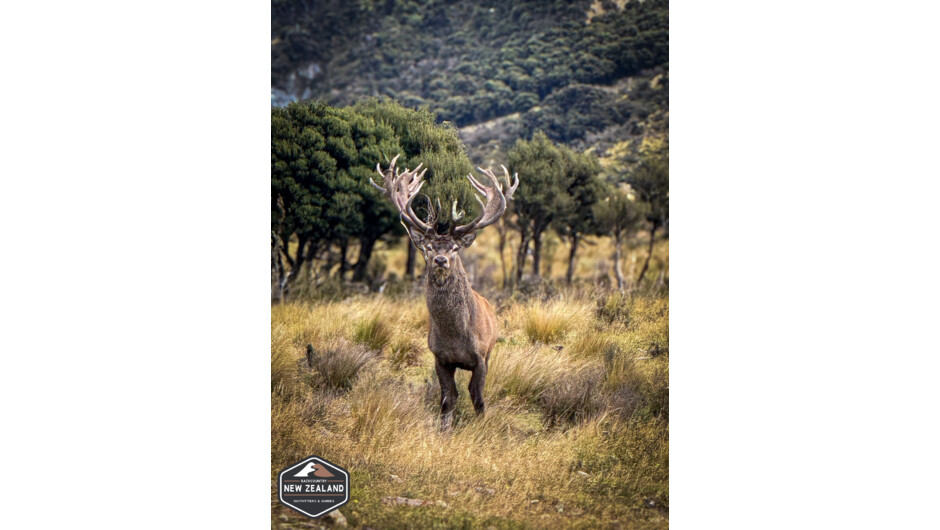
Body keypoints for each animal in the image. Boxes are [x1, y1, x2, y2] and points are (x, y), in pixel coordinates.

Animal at [371, 154, 519, 431]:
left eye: (454, 248)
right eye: (429, 247)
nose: (440, 260)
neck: (456, 337)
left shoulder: (481, 356)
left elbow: (478, 398)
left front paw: (481, 428)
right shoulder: (440, 357)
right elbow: (448, 399)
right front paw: (444, 431)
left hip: (491, 351)